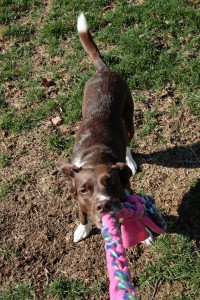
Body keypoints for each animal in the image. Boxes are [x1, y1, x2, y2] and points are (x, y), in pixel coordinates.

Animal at [57, 14, 137, 243]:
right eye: (84, 190)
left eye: (110, 182)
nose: (103, 205)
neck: (94, 159)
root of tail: (104, 70)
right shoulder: (76, 195)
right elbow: (82, 212)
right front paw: (83, 228)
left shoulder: (126, 187)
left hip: (128, 117)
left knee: (128, 142)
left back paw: (130, 160)